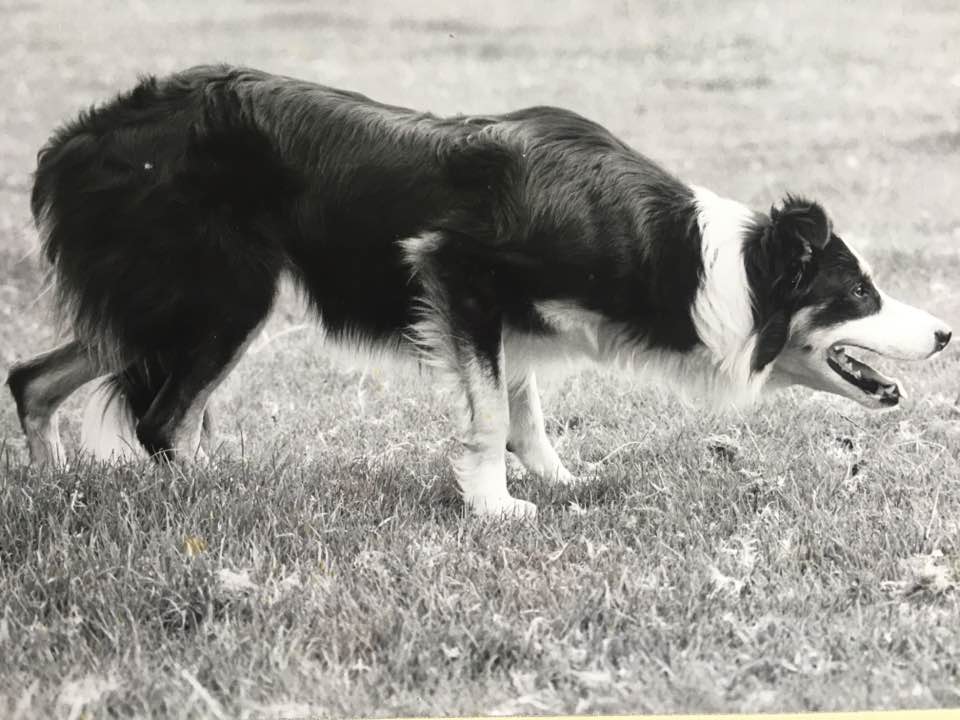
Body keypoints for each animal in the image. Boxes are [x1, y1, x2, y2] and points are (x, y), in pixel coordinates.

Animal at [7, 65, 952, 517]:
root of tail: (74, 142)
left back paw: (58, 489)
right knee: (163, 418)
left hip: (161, 296)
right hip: (225, 292)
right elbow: (493, 412)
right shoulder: (459, 273)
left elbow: (525, 409)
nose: (946, 334)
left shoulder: (508, 317)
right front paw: (496, 507)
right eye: (859, 292)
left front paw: (560, 482)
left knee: (33, 379)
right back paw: (215, 497)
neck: (694, 261)